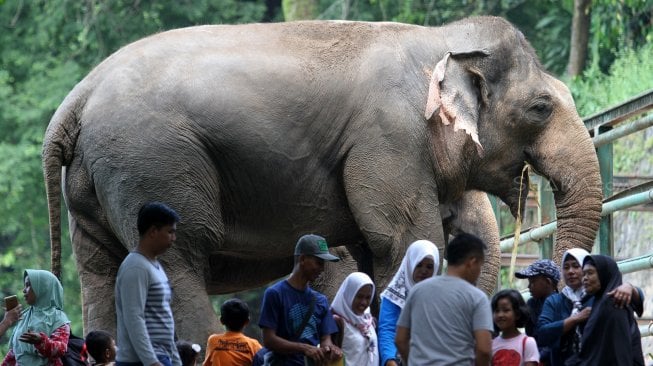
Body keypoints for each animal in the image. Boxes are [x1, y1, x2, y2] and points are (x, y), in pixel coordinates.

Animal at [40, 16, 600, 344]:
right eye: (541, 107)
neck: (440, 38)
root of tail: (75, 99)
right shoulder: (389, 138)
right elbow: (406, 241)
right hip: (152, 162)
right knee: (177, 259)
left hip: (99, 181)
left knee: (101, 271)